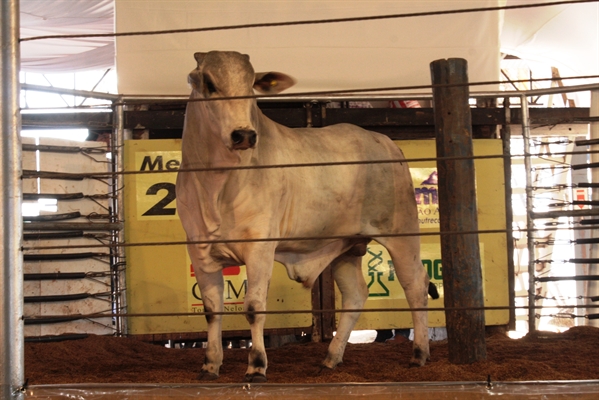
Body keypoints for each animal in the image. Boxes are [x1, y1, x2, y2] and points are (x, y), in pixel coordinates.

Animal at [176, 51, 438, 382]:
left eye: (251, 85)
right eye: (209, 84)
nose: (244, 134)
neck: (215, 184)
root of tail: (387, 143)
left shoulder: (260, 248)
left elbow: (253, 306)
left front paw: (257, 365)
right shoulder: (199, 250)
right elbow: (212, 309)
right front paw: (210, 364)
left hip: (402, 233)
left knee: (415, 285)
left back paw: (419, 353)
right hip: (346, 247)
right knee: (356, 295)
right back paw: (330, 358)